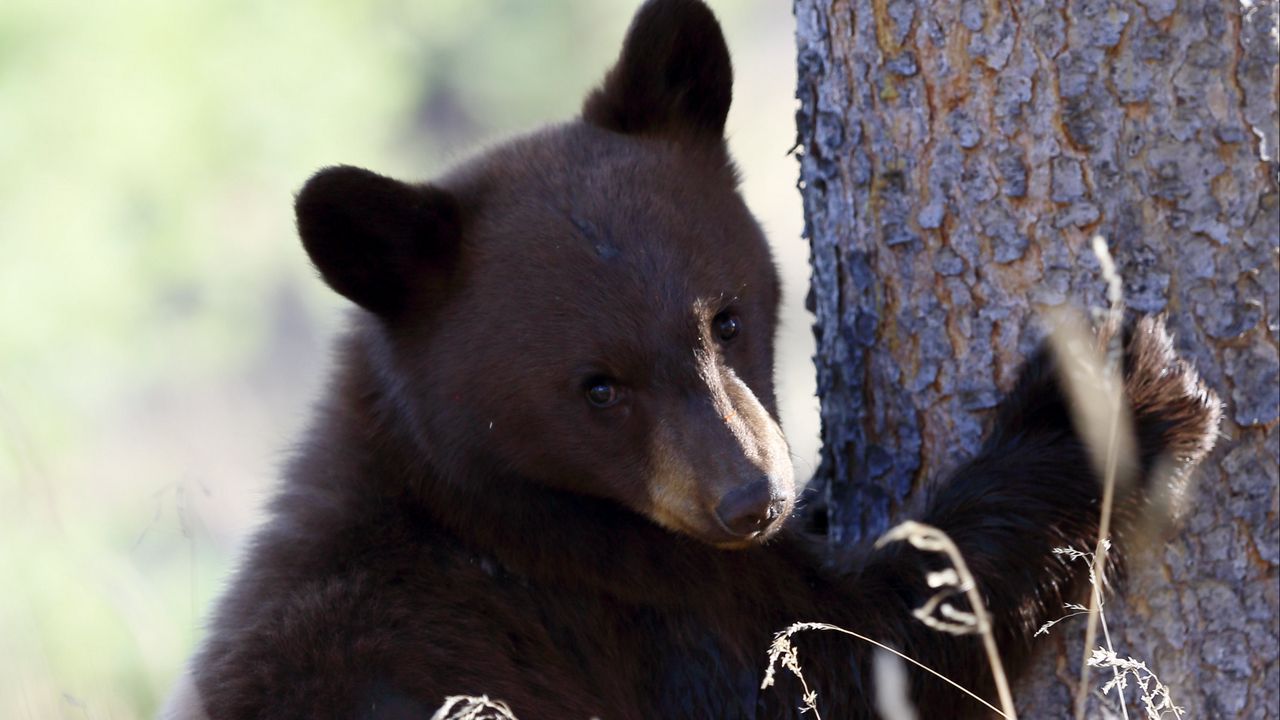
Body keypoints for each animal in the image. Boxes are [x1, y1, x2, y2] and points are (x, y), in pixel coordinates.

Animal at [165, 1, 1223, 717]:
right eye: (597, 388)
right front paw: (1102, 403)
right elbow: (862, 652)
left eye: (726, 320)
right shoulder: (641, 625)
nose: (752, 499)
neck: (484, 508)